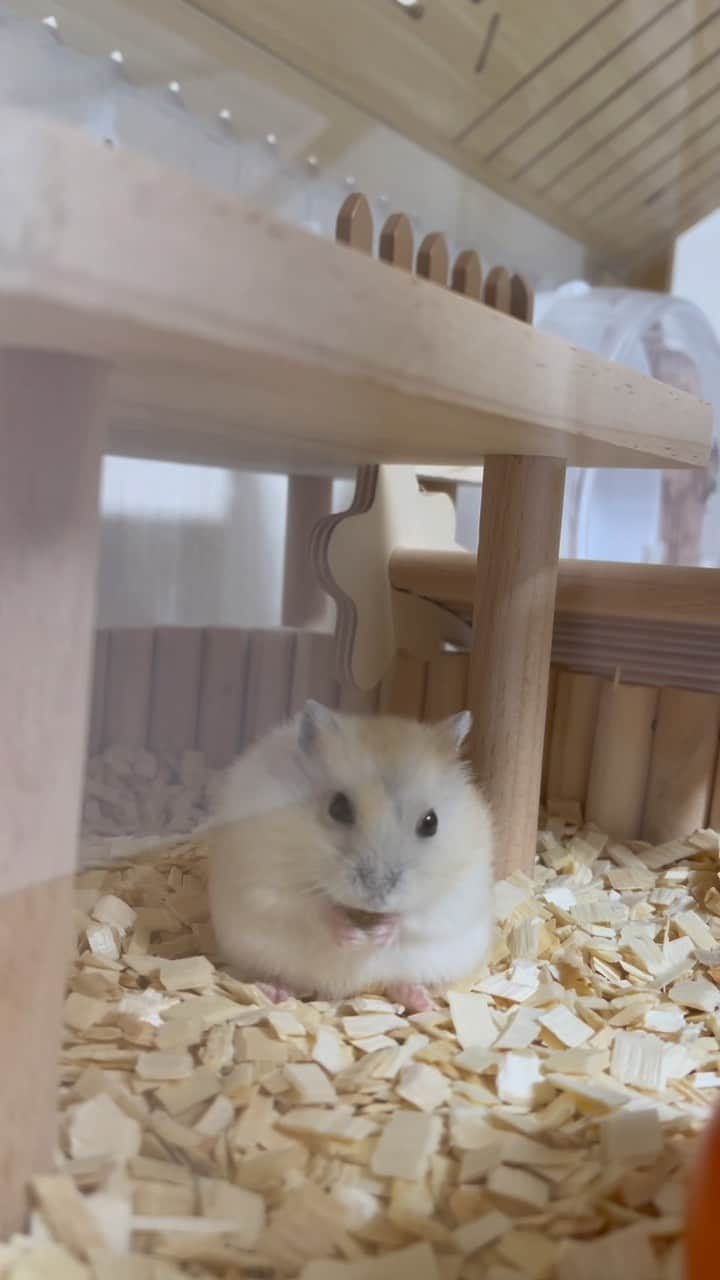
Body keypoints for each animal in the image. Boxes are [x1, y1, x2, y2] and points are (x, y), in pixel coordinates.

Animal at [208, 701, 494, 1012]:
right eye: (338, 808)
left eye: (431, 822)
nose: (376, 896)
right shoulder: (266, 877)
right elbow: (308, 908)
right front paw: (353, 937)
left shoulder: (459, 891)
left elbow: (418, 915)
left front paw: (379, 935)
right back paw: (275, 993)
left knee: (396, 982)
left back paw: (421, 1001)